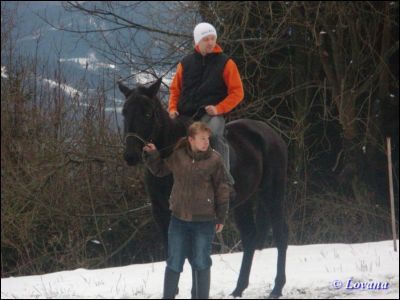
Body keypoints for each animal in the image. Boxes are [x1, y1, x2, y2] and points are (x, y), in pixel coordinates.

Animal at [117, 78, 290, 298]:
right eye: (125, 112)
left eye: (147, 113)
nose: (130, 155)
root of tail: (272, 135)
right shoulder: (161, 213)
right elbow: (172, 252)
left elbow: (193, 257)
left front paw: (195, 291)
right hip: (243, 202)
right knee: (249, 237)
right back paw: (238, 288)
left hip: (272, 193)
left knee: (281, 234)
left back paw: (277, 287)